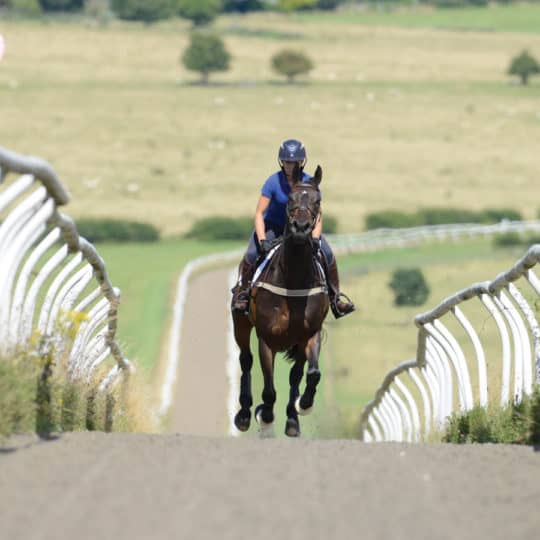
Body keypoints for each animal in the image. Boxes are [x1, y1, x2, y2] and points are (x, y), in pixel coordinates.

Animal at [231, 163, 330, 434]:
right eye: (290, 199)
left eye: (317, 201)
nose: (301, 228)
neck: (293, 279)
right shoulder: (267, 339)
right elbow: (269, 388)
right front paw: (264, 415)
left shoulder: (309, 334)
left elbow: (311, 373)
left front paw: (301, 407)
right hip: (241, 324)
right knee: (245, 360)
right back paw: (245, 414)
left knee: (296, 374)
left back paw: (292, 417)